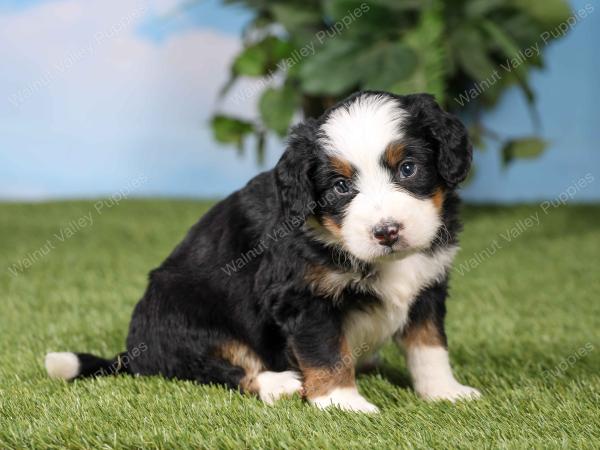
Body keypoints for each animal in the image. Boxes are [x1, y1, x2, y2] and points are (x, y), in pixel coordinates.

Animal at [45, 90, 482, 412]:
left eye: (408, 168)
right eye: (340, 187)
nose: (387, 231)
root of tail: (134, 352)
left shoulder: (428, 284)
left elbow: (429, 345)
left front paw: (444, 391)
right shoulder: (301, 295)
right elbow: (327, 352)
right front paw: (343, 403)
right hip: (182, 315)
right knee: (214, 367)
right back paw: (279, 384)